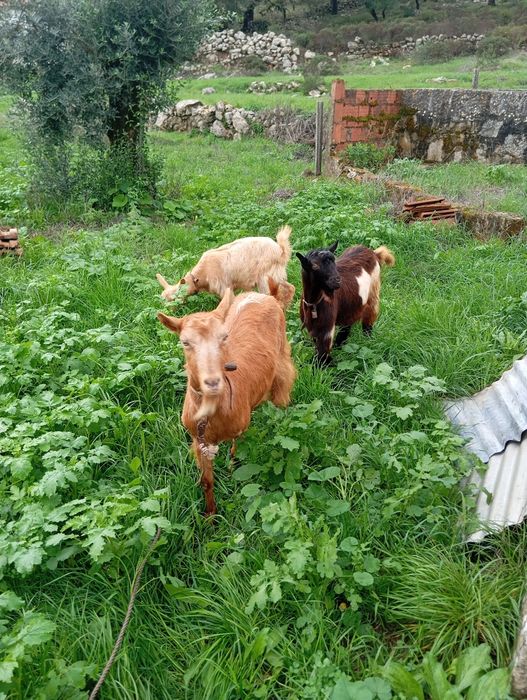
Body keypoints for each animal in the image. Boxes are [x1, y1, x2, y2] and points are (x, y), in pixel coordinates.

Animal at [157, 281, 297, 515]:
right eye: (185, 342)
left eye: (224, 337)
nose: (213, 382)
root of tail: (268, 296)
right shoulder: (199, 440)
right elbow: (206, 482)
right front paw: (210, 516)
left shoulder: (240, 423)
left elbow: (237, 444)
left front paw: (232, 467)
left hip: (282, 360)